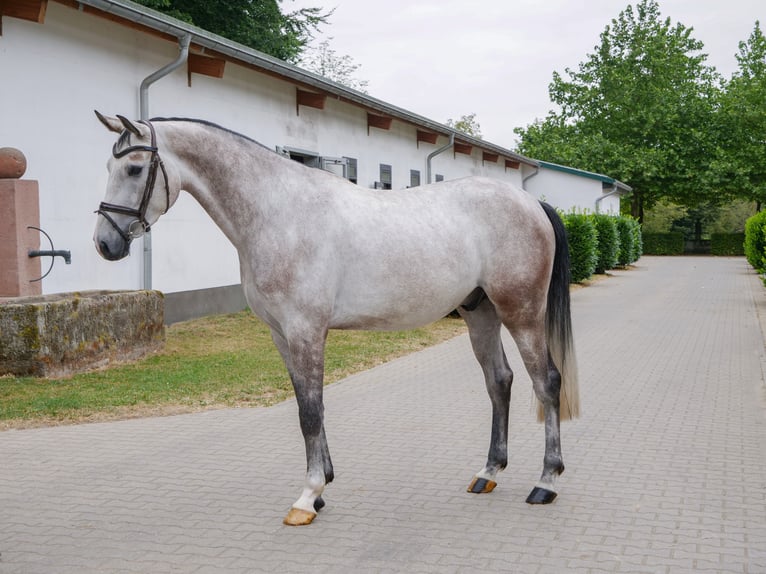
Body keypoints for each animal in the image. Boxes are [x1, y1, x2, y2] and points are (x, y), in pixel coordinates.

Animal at [93, 112, 580, 526]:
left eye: (134, 169)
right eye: (108, 165)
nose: (105, 244)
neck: (279, 213)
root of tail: (531, 202)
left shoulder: (305, 330)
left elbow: (311, 411)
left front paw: (307, 497)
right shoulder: (282, 335)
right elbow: (307, 406)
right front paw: (322, 486)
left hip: (522, 313)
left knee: (547, 382)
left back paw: (546, 481)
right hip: (481, 314)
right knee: (499, 381)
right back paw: (488, 472)